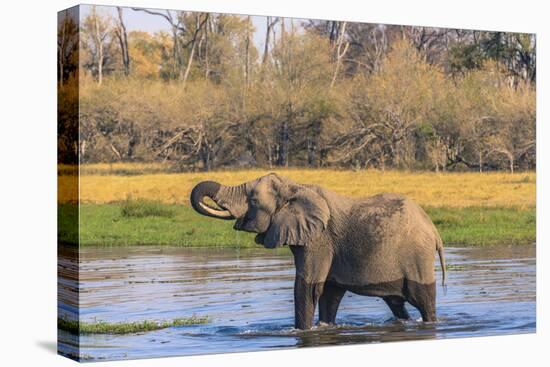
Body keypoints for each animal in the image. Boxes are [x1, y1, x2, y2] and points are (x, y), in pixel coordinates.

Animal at [192, 174, 446, 332]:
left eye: (253, 200)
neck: (295, 186)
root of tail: (434, 230)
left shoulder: (319, 239)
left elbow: (308, 287)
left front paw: (301, 332)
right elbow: (329, 294)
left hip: (417, 257)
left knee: (423, 299)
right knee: (395, 302)